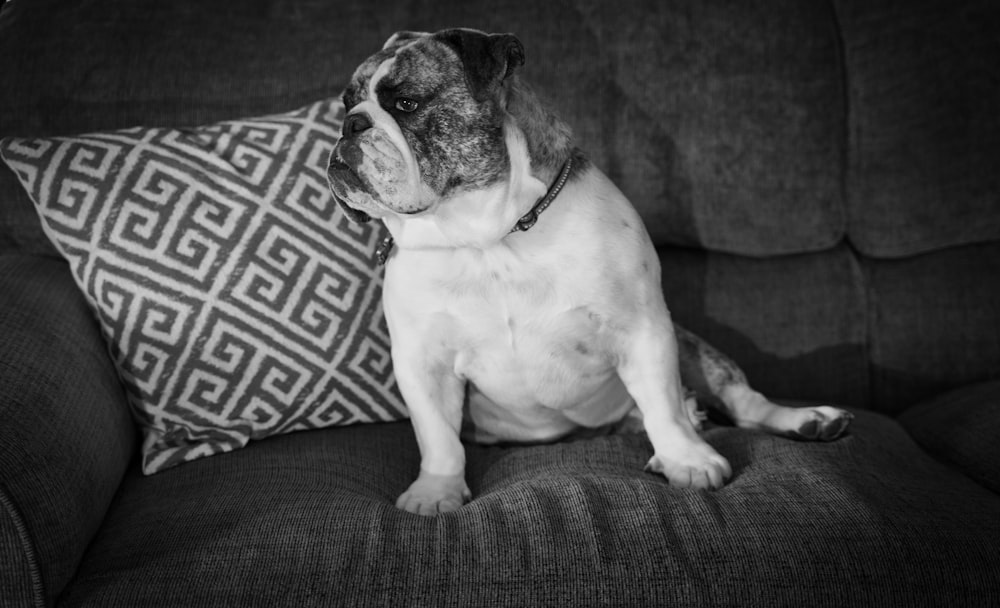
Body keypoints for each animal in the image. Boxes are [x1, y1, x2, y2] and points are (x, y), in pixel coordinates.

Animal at [326, 27, 852, 512]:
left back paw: (807, 420)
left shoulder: (643, 330)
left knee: (739, 403)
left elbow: (664, 406)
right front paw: (436, 490)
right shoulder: (422, 361)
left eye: (407, 104)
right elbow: (437, 435)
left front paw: (688, 461)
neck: (487, 241)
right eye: (346, 105)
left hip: (693, 349)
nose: (350, 125)